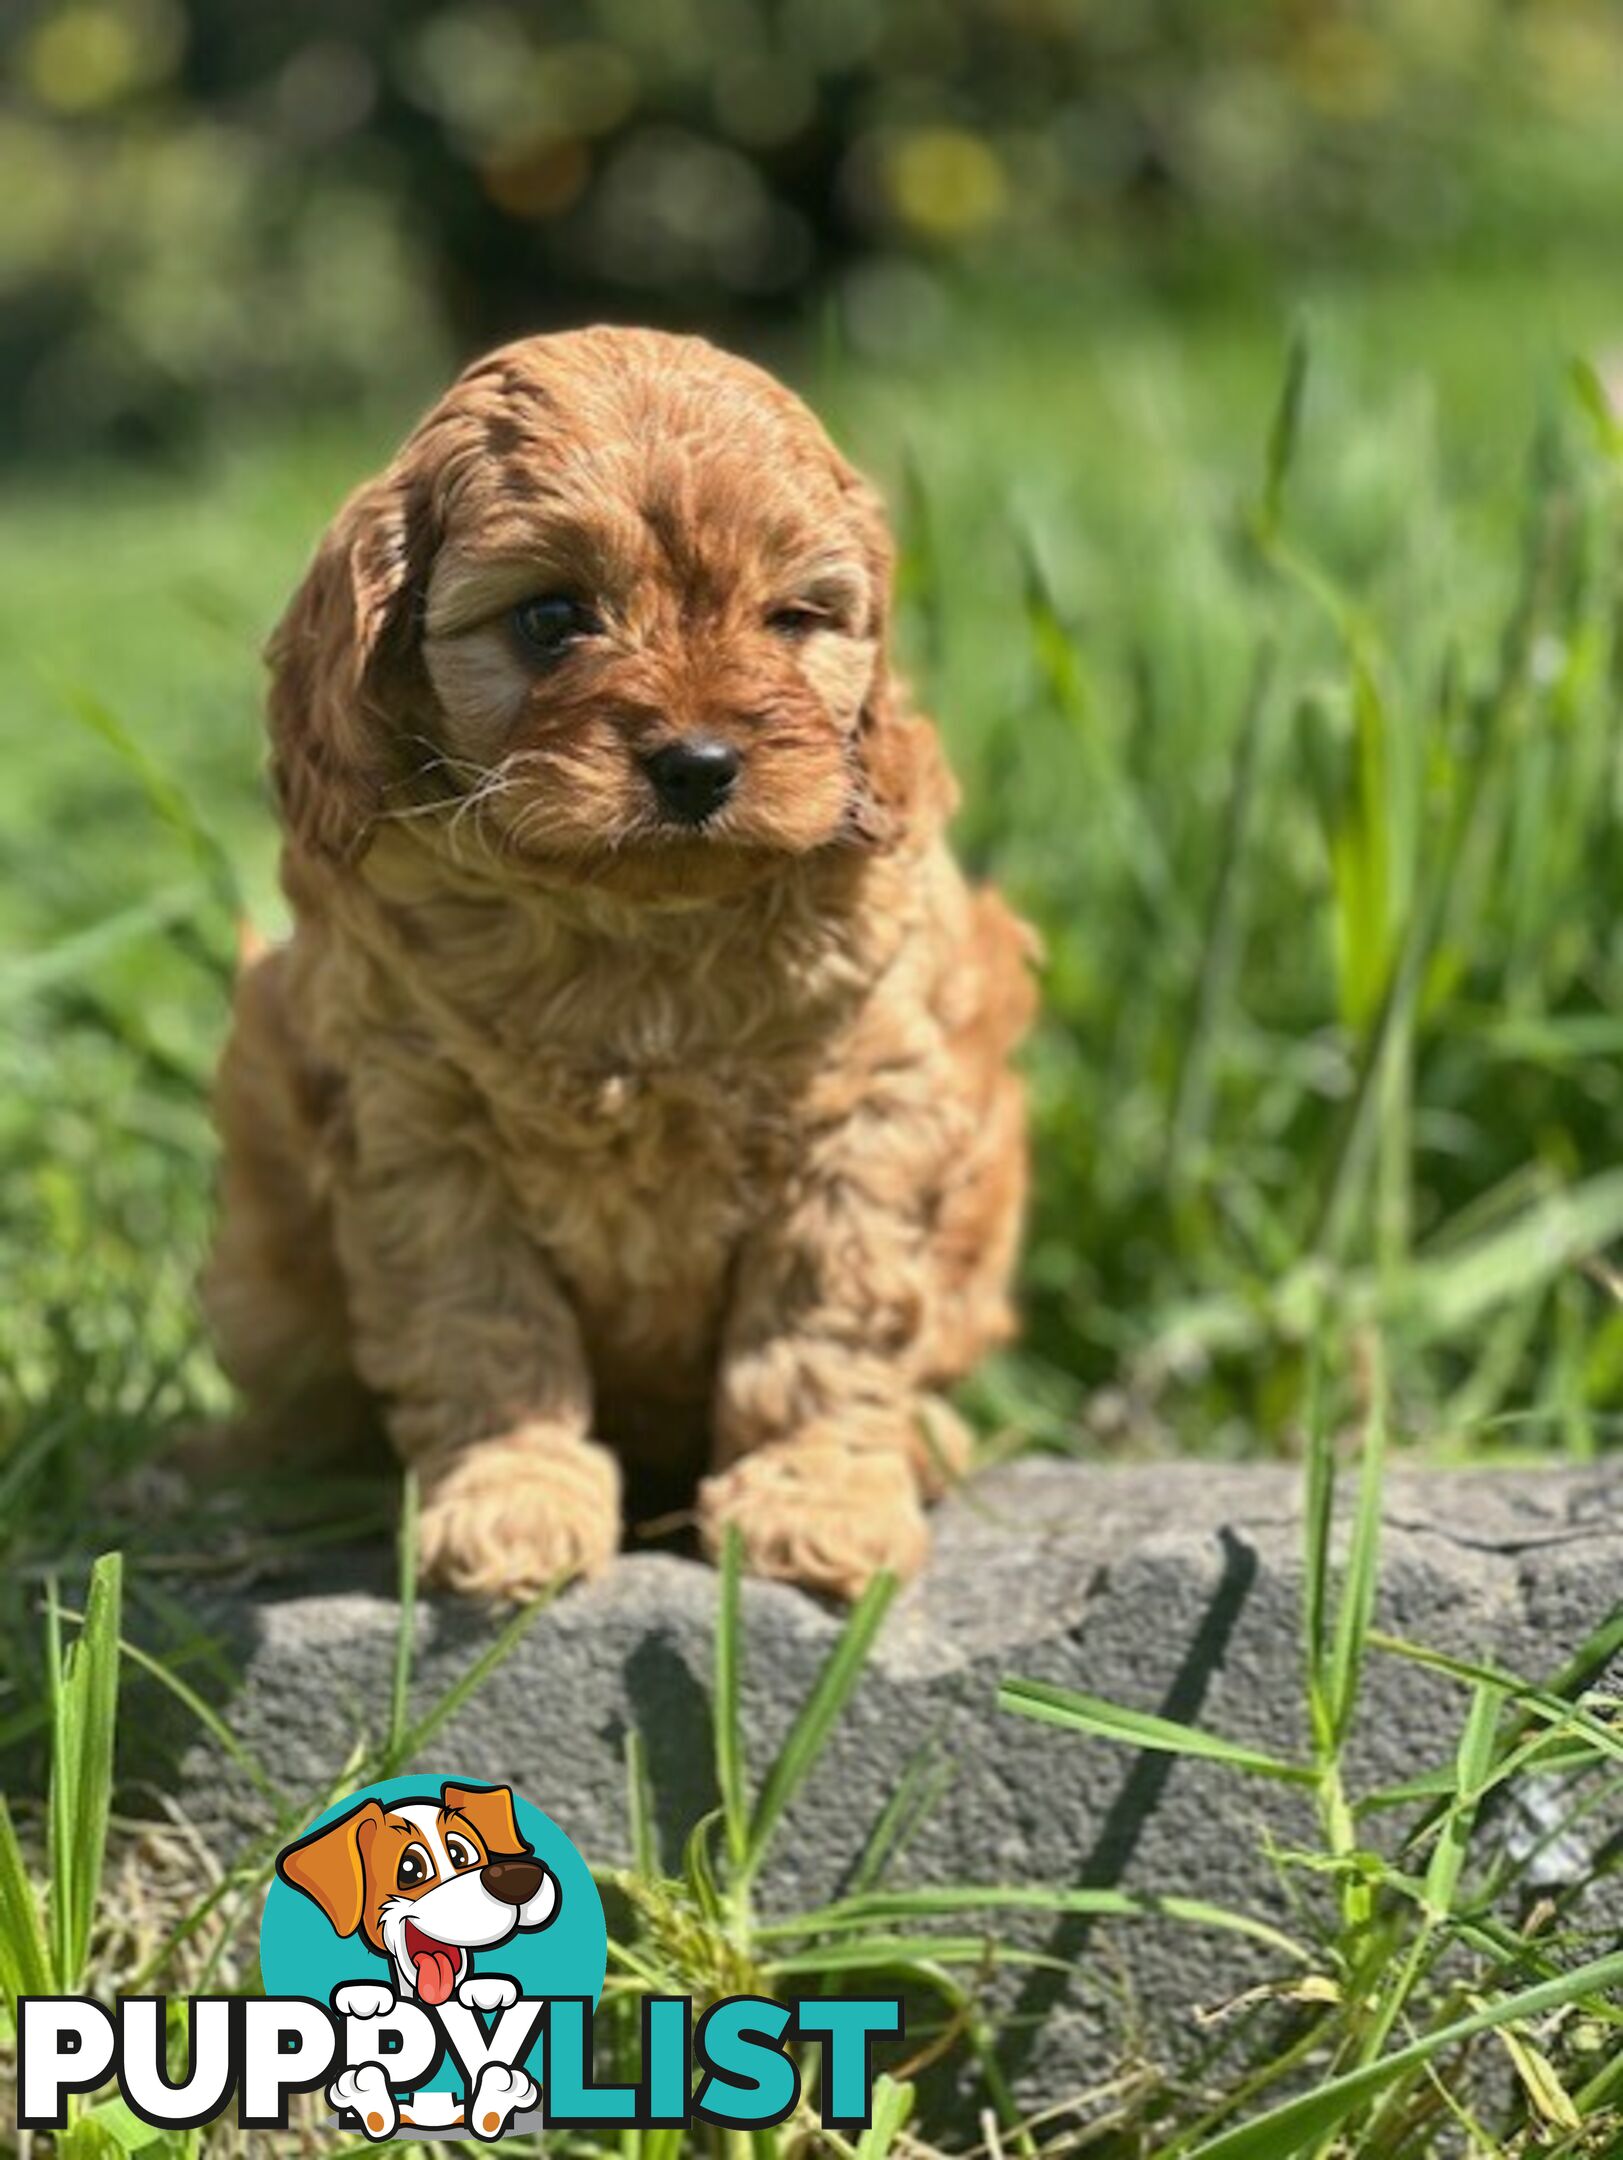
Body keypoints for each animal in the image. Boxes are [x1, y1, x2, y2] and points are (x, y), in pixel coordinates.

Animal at [203, 328, 1033, 1598]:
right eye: (552, 619)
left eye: (791, 619)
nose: (699, 764)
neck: (638, 933)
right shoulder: (419, 1131)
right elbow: (483, 1325)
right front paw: (514, 1500)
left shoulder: (865, 1111)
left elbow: (821, 1325)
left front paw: (820, 1501)